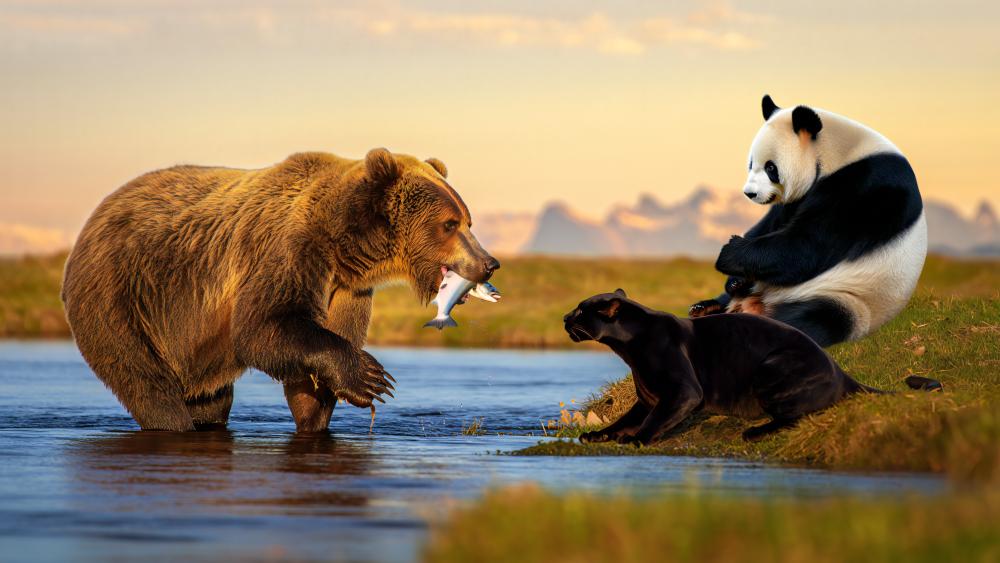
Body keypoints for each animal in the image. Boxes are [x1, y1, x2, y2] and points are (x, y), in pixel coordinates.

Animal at [61, 148, 499, 432]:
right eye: (449, 223)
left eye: (468, 220)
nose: (488, 263)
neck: (343, 246)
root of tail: (93, 219)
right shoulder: (285, 252)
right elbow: (263, 327)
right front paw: (372, 378)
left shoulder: (345, 289)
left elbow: (314, 357)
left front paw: (319, 410)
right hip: (123, 295)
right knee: (146, 383)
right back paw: (171, 421)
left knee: (210, 398)